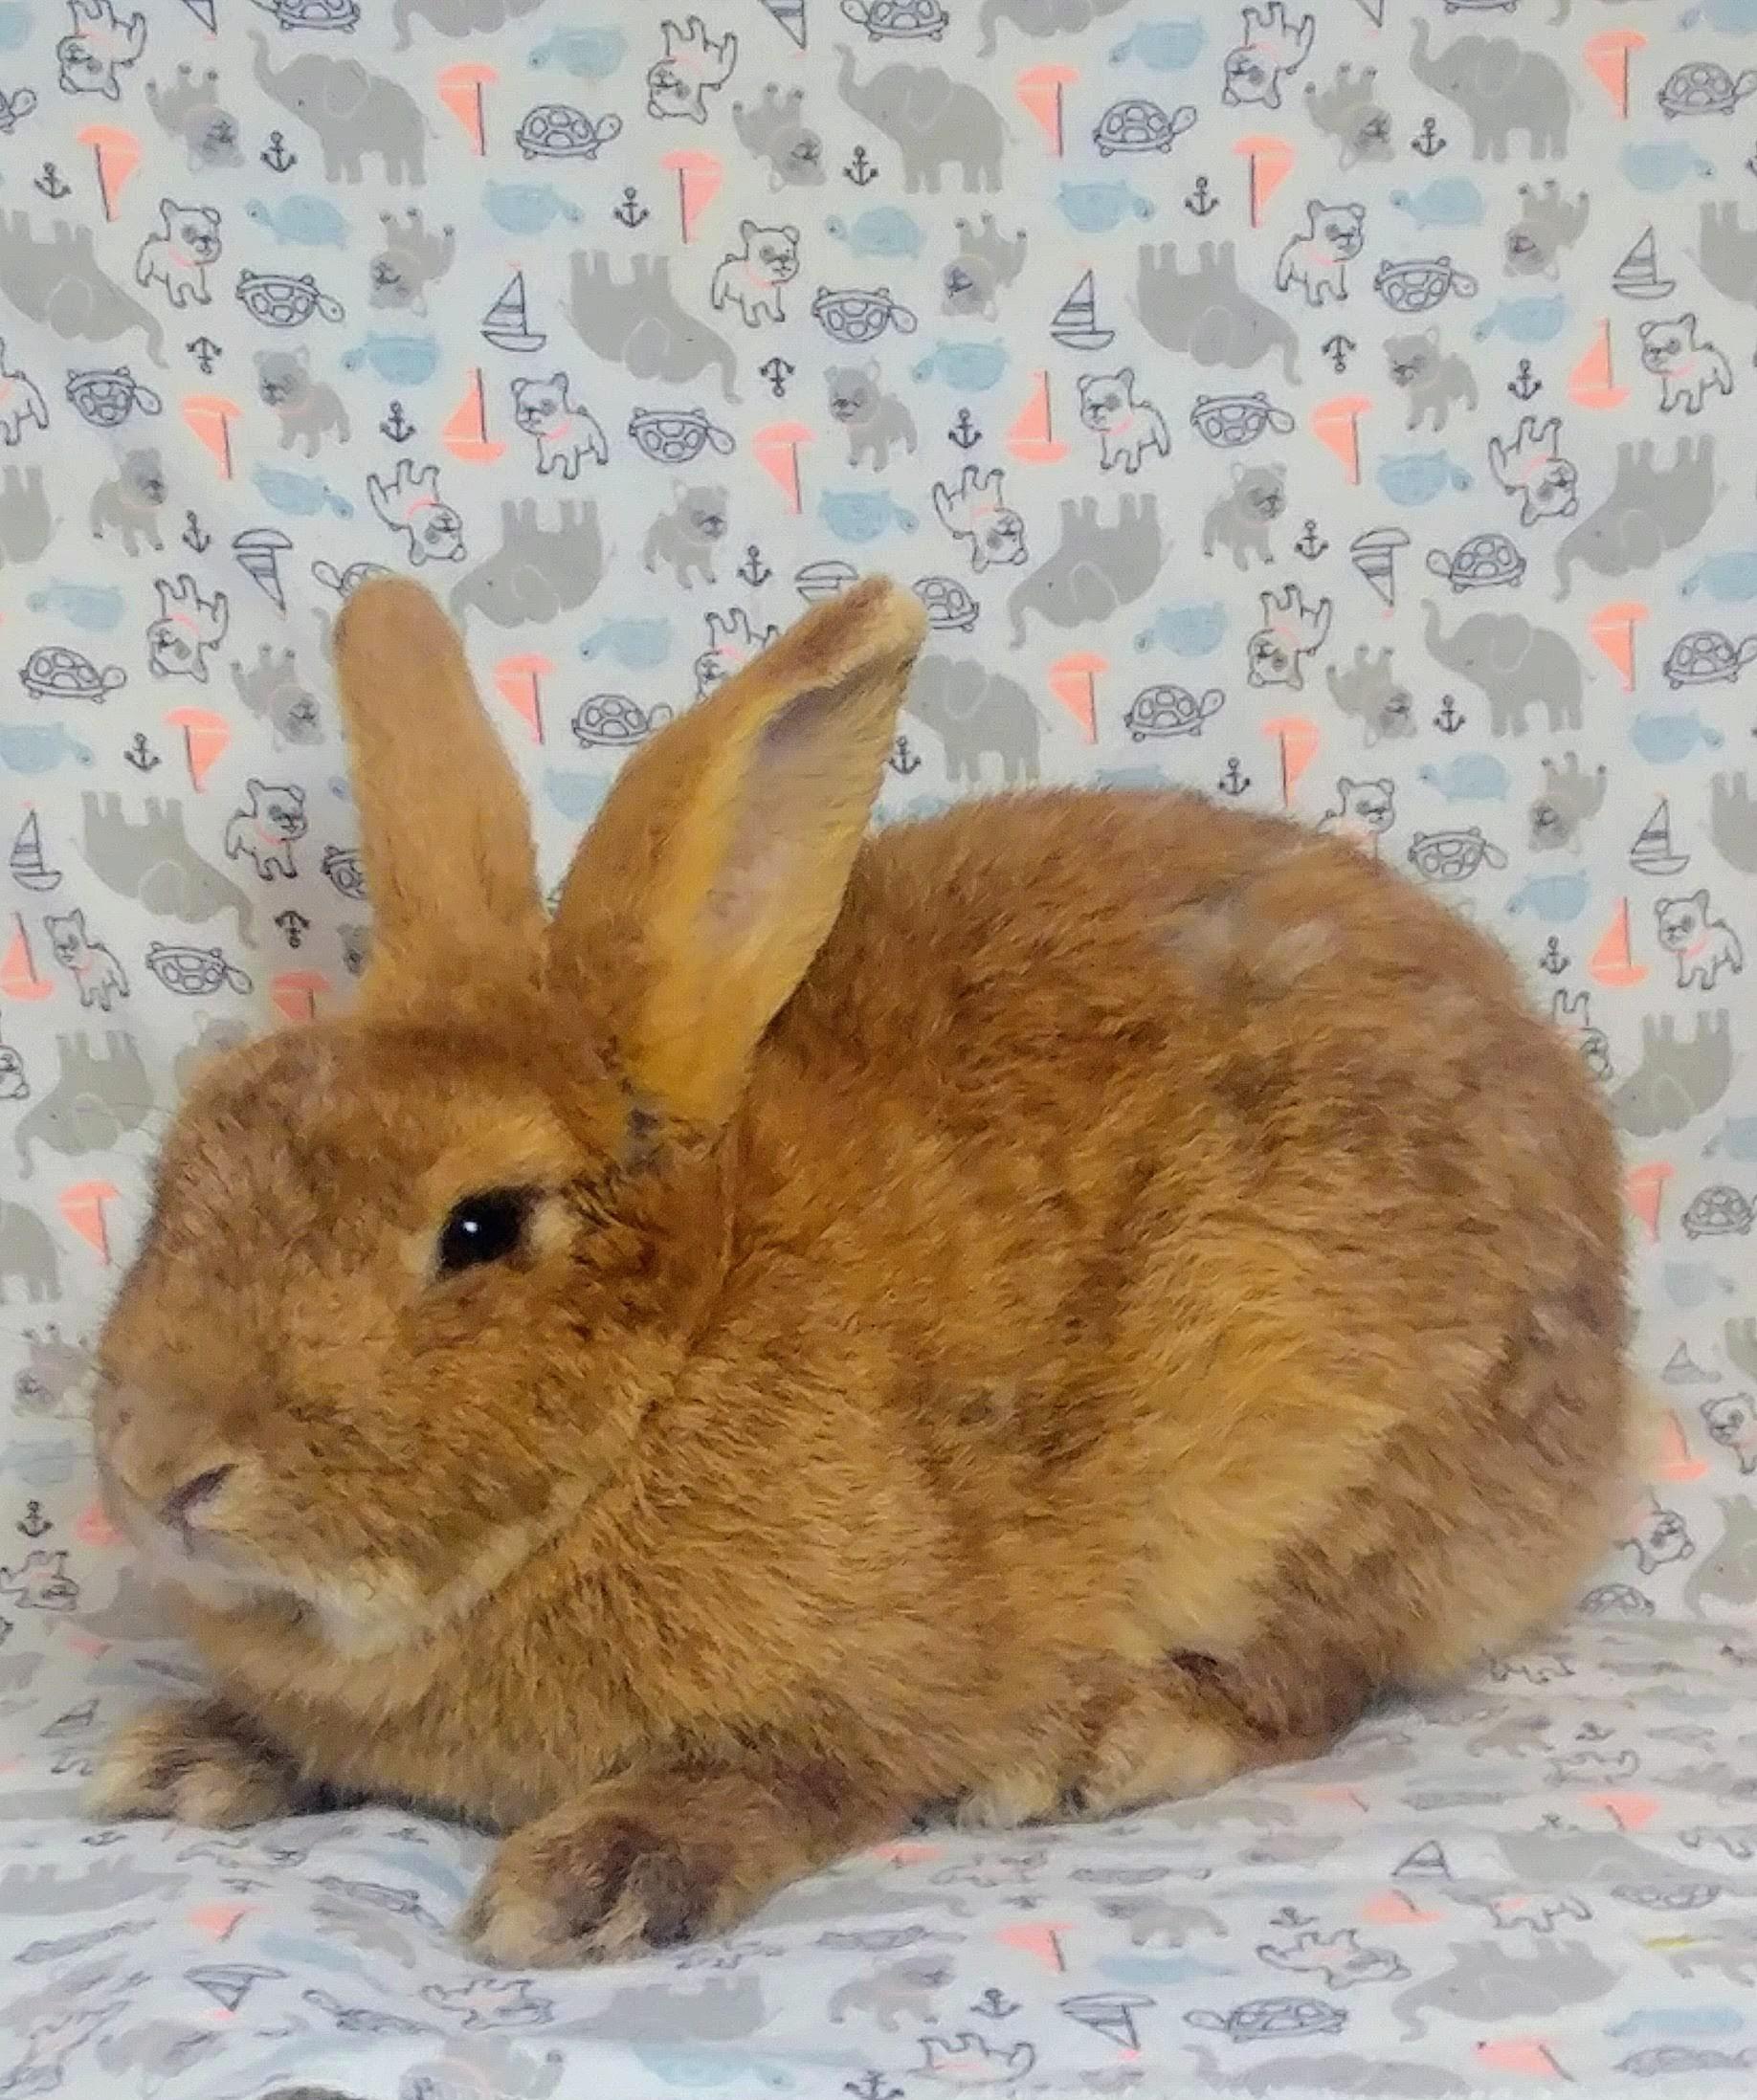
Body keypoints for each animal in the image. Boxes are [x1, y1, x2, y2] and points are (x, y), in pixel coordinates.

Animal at [86, 575, 1634, 1967]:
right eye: (198, 1133)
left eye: (480, 1226)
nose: (163, 1472)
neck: (674, 1367)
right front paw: (182, 1758)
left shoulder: (870, 1697)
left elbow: (796, 1777)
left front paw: (593, 1878)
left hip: (1337, 1465)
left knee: (1320, 1671)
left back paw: (1100, 1743)